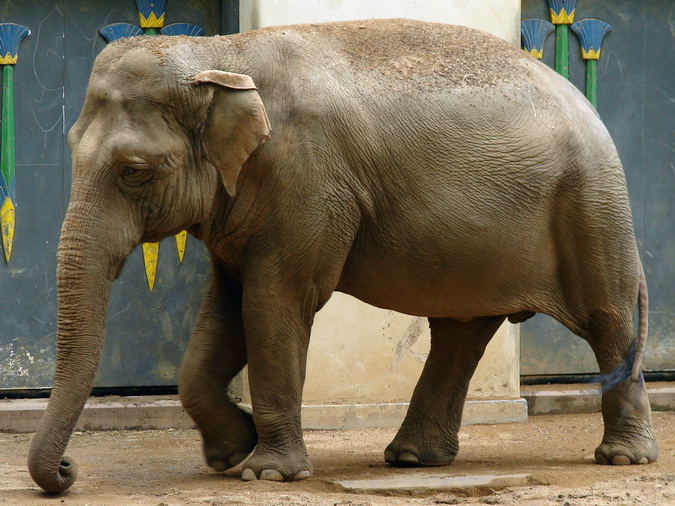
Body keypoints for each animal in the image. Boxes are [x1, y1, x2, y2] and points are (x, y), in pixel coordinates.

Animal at [28, 18, 658, 493]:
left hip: (591, 206)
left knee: (608, 321)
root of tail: (586, 104)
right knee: (461, 331)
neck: (221, 56)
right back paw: (412, 459)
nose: (68, 469)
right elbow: (225, 312)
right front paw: (230, 452)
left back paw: (624, 459)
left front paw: (267, 474)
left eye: (134, 172)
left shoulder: (307, 180)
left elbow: (275, 301)